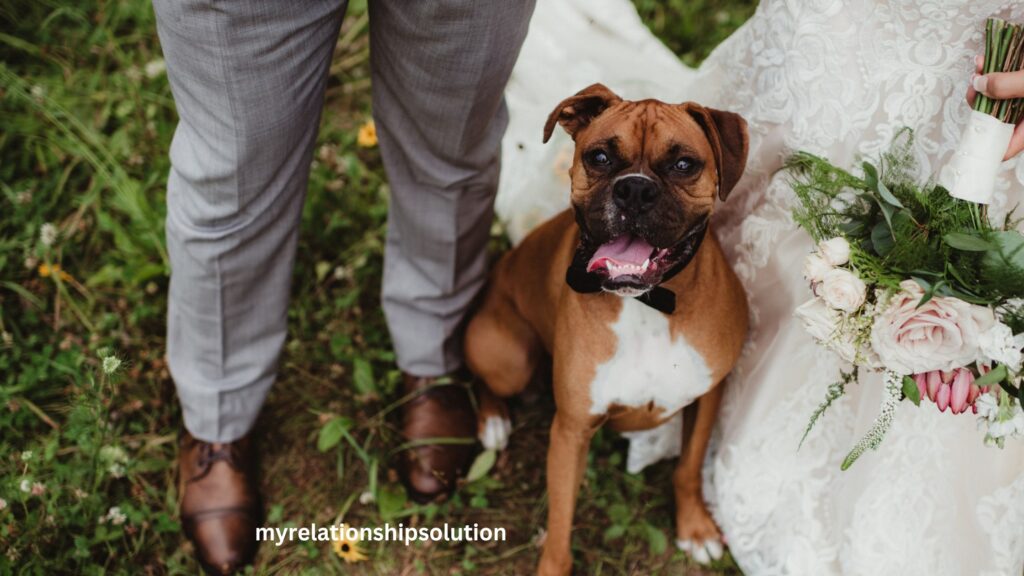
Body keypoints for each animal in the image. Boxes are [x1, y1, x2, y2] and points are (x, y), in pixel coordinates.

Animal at [468, 83, 749, 569]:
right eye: (599, 157)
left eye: (683, 164)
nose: (634, 188)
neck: (648, 306)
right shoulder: (571, 431)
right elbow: (561, 521)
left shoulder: (707, 393)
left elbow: (688, 466)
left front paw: (694, 527)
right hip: (508, 357)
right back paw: (494, 422)